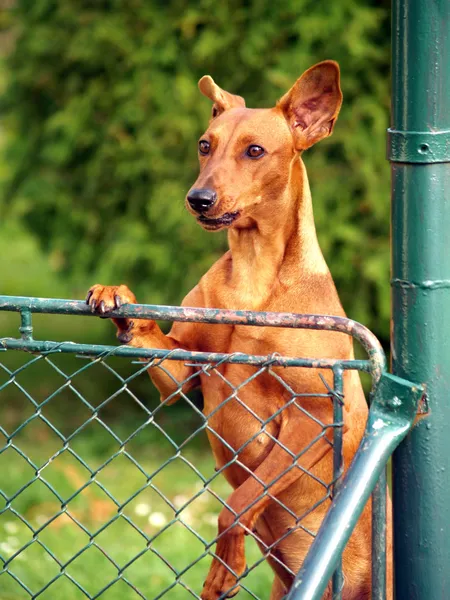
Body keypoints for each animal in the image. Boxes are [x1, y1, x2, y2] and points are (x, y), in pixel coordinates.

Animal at [87, 63, 390, 596]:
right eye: (204, 145)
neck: (252, 278)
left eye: (255, 151)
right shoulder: (184, 375)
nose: (198, 199)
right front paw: (116, 295)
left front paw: (223, 568)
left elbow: (237, 503)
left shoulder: (314, 416)